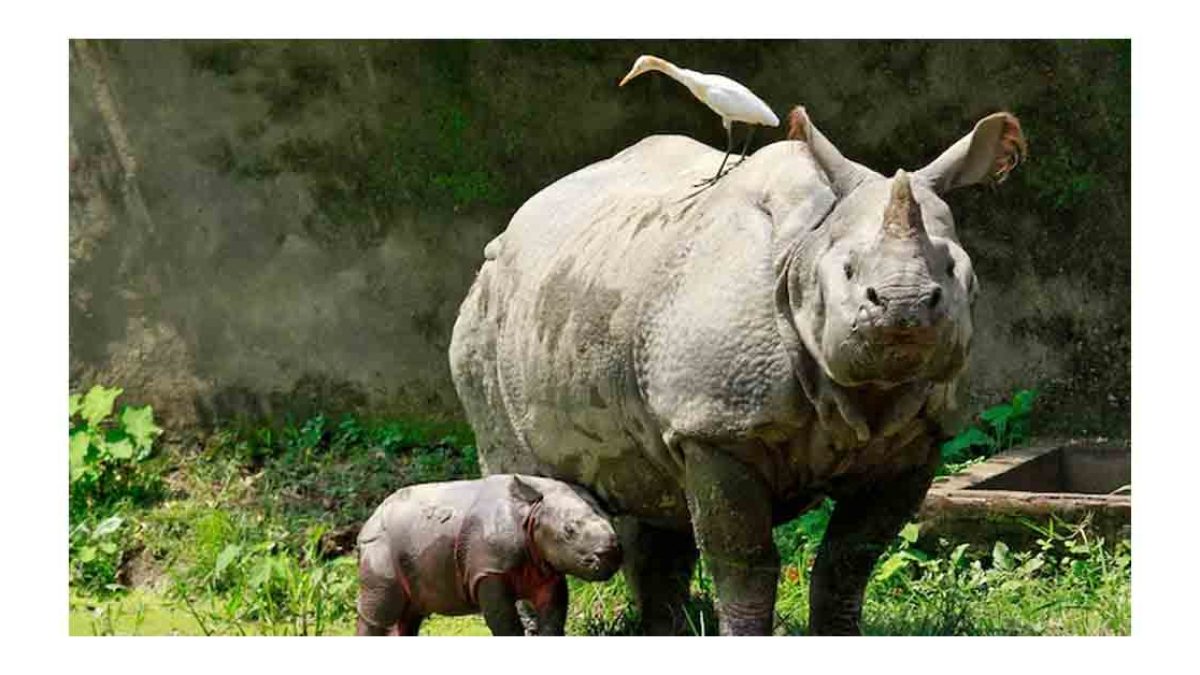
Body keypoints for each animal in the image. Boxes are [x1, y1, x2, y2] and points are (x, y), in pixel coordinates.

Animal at [449, 106, 1026, 635]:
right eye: (847, 270)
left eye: (952, 269)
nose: (904, 306)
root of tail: (514, 225)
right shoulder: (716, 428)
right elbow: (744, 560)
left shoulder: (918, 440)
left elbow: (850, 558)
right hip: (483, 316)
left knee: (654, 494)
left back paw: (666, 632)